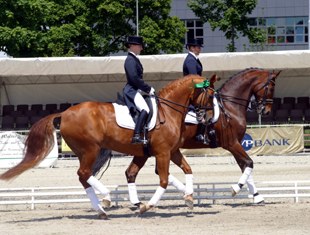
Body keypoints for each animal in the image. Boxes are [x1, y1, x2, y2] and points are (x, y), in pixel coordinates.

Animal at [0, 75, 209, 218]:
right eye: (210, 94)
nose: (205, 118)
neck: (168, 111)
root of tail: (64, 113)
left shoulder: (168, 152)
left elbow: (186, 170)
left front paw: (189, 199)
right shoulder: (163, 152)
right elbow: (164, 180)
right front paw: (146, 206)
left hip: (85, 152)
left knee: (84, 176)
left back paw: (101, 209)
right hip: (90, 149)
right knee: (84, 173)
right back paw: (106, 198)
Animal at [114, 67, 280, 207]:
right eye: (271, 88)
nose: (266, 111)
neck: (229, 107)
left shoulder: (235, 144)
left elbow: (245, 166)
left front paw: (257, 196)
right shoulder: (232, 144)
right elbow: (249, 163)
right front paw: (236, 189)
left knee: (139, 172)